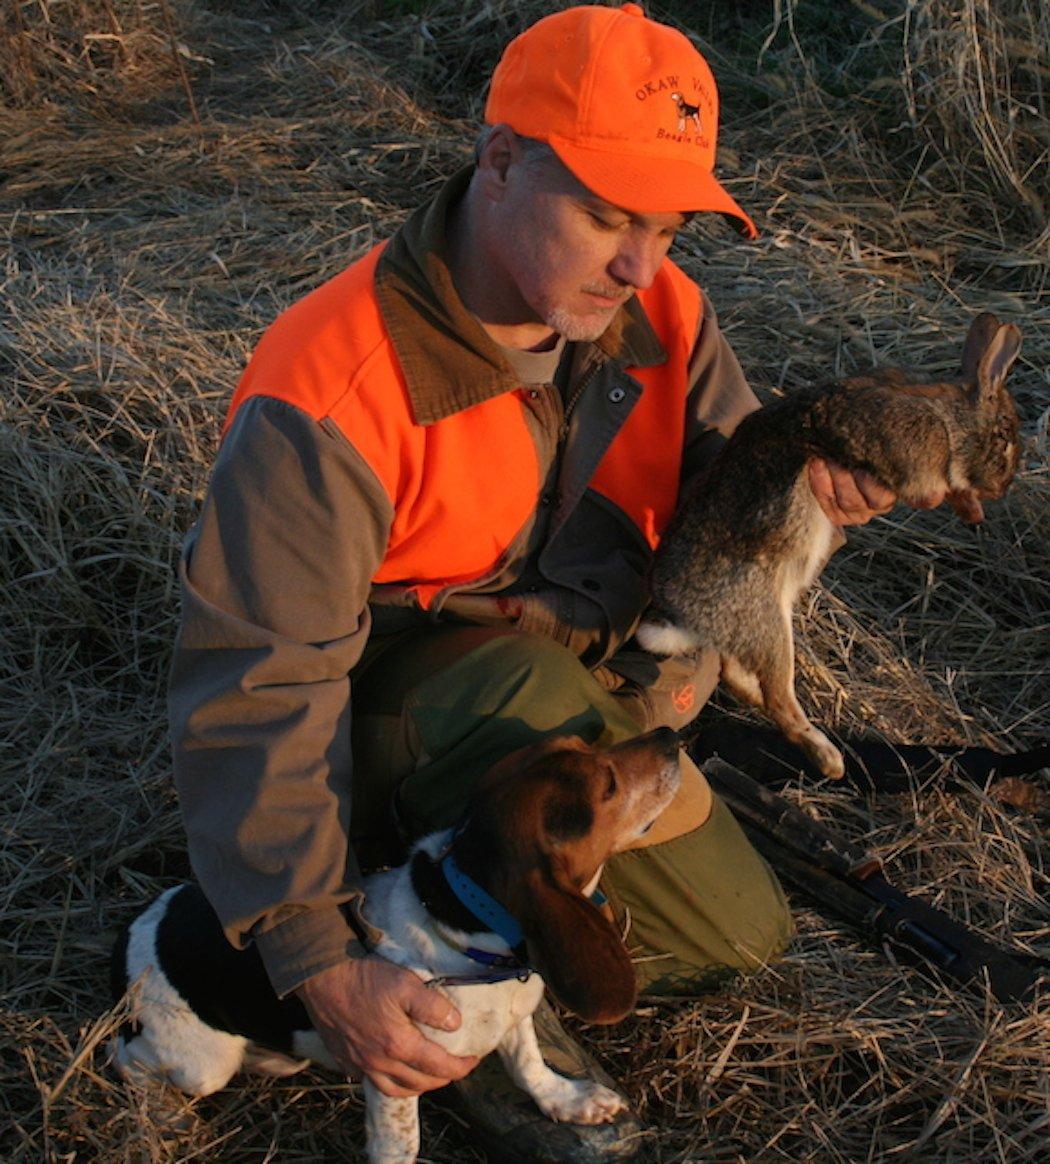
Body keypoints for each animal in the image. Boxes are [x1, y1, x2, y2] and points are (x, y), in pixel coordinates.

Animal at [637, 314, 1024, 777]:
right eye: (1003, 435)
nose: (1002, 488)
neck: (950, 417)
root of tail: (679, 615)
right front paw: (969, 504)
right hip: (765, 620)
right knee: (778, 699)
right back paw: (829, 758)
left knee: (738, 675)